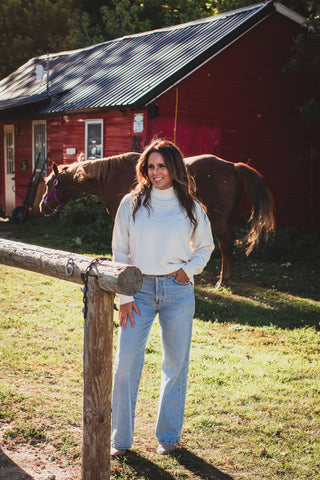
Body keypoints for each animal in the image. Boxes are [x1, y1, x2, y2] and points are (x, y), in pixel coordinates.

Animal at [40, 153, 276, 284]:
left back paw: (222, 281)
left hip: (218, 220)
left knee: (226, 245)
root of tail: (232, 166)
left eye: (50, 183)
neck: (109, 176)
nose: (42, 206)